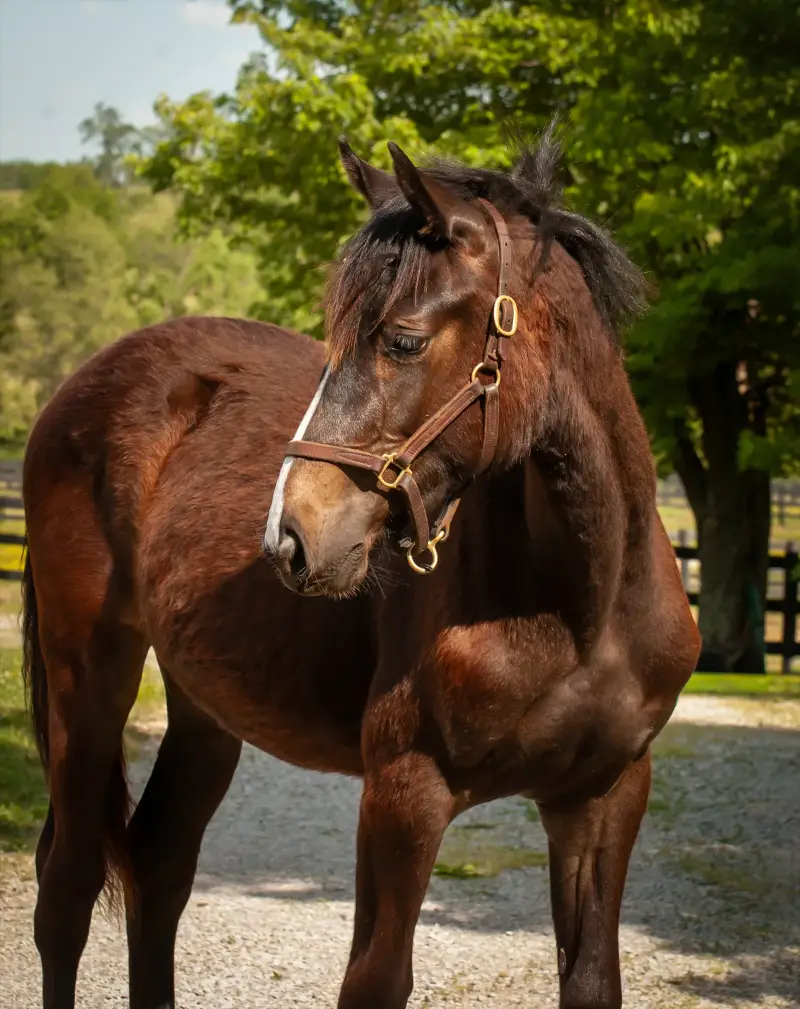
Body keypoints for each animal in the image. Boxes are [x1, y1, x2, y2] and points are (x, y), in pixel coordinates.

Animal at [21, 126, 699, 1009]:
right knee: (67, 892)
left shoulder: (602, 796)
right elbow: (375, 979)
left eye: (403, 339)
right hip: (88, 681)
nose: (291, 537)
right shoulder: (404, 794)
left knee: (158, 864)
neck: (585, 606)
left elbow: (590, 982)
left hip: (205, 703)